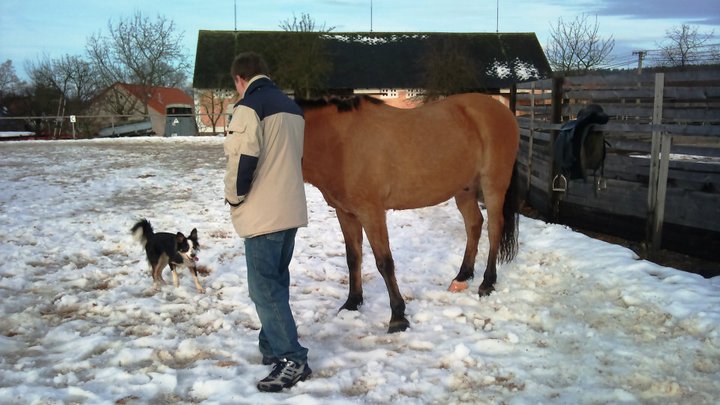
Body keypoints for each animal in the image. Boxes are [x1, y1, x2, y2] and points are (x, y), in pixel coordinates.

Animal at [298, 93, 520, 333]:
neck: (338, 143)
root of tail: (503, 110)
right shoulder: (345, 213)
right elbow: (353, 258)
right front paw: (352, 303)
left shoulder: (371, 212)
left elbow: (384, 263)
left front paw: (398, 317)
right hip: (465, 189)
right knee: (474, 224)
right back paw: (463, 275)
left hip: (493, 185)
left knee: (494, 228)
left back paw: (487, 282)